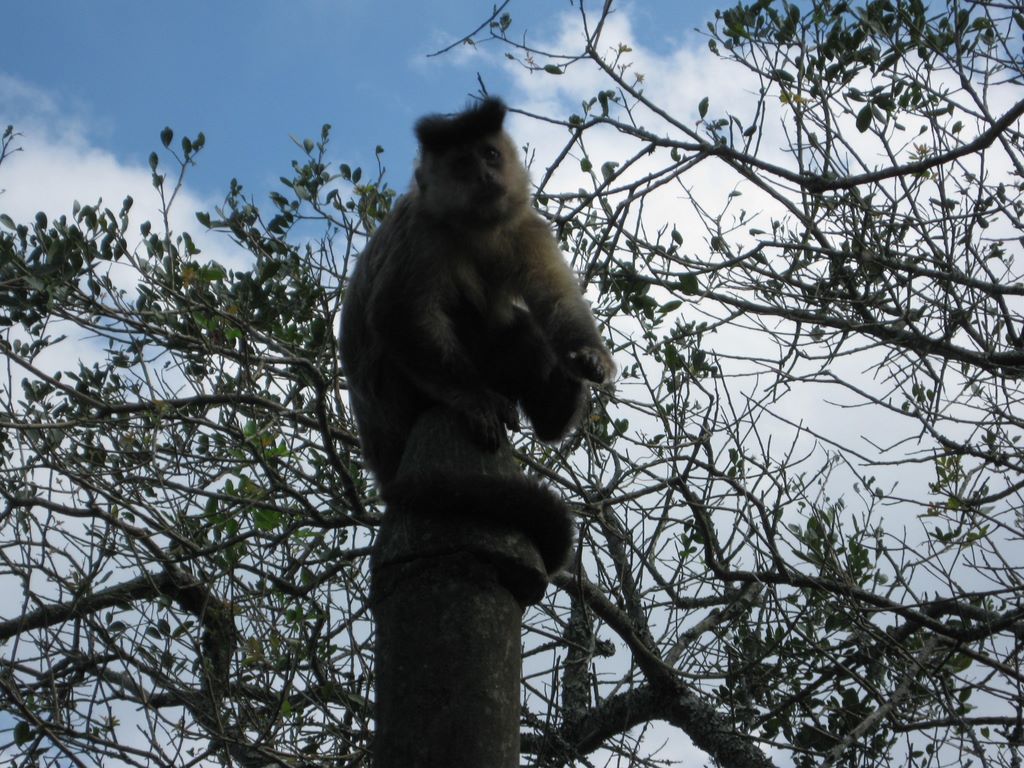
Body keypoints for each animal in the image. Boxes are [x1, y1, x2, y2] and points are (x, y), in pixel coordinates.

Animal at [340, 97, 614, 572]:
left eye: (489, 154)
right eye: (463, 163)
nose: (485, 174)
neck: (475, 228)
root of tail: (380, 455)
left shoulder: (526, 224)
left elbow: (557, 300)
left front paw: (587, 357)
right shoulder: (422, 230)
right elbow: (396, 315)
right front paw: (474, 398)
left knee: (519, 328)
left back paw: (557, 408)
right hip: (397, 400)